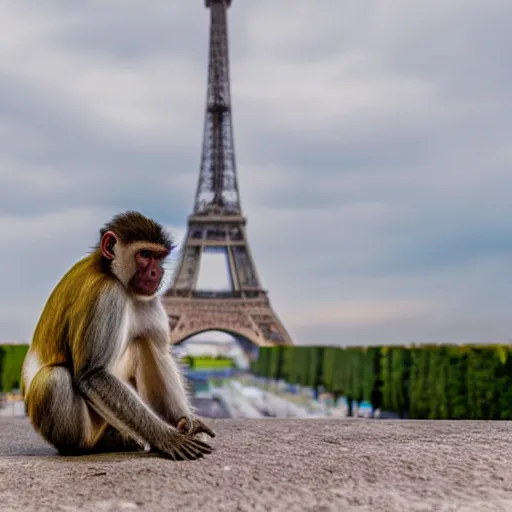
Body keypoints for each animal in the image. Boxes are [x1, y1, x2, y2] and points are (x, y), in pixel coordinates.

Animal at [20, 209, 215, 460]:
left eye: (158, 257)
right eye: (144, 254)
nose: (157, 271)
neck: (108, 269)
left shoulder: (145, 296)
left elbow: (160, 350)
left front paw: (186, 423)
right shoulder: (106, 296)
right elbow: (94, 374)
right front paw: (167, 437)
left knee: (145, 341)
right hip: (90, 426)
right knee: (55, 379)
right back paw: (88, 446)